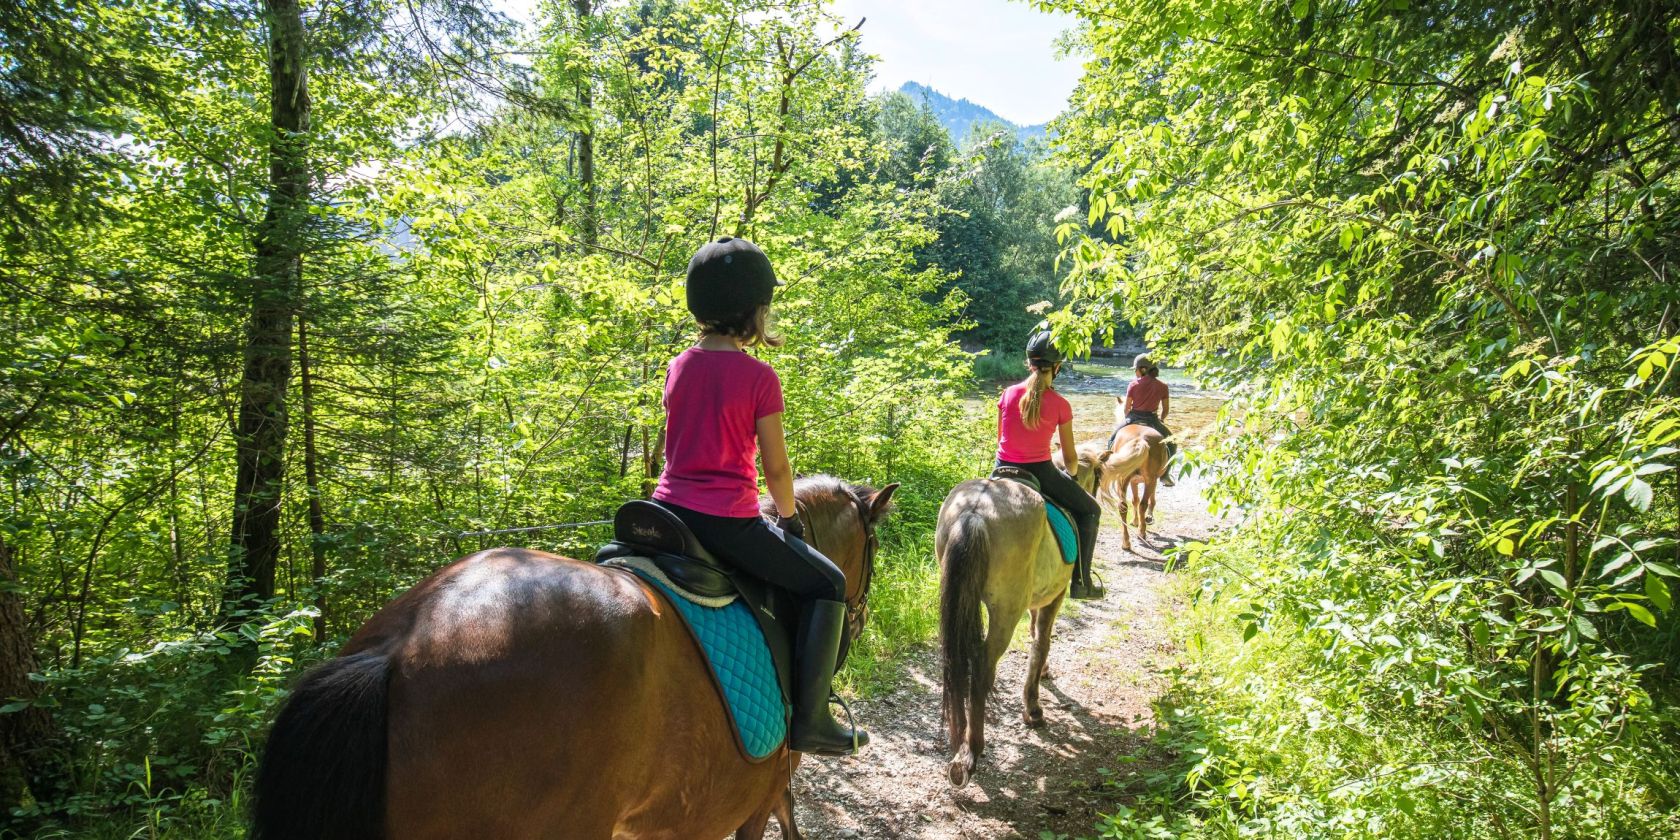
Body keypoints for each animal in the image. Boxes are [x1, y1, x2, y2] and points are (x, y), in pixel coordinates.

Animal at [940, 480, 1068, 786]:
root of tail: (975, 513)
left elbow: (1035, 633)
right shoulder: (1055, 595)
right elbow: (1042, 641)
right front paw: (1032, 707)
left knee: (957, 663)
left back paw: (959, 742)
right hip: (1006, 612)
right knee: (982, 666)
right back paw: (972, 750)